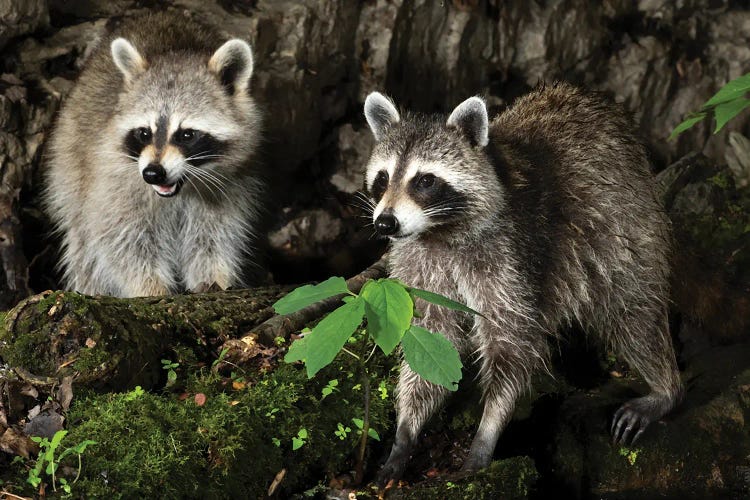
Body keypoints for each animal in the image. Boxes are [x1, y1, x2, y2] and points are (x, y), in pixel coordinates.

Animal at [44, 12, 266, 296]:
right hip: (69, 164)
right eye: (144, 133)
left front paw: (214, 276)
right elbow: (121, 239)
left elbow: (215, 234)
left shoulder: (231, 185)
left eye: (187, 135)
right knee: (84, 245)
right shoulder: (114, 183)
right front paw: (151, 287)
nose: (152, 173)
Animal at [364, 84, 688, 482]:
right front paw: (406, 431)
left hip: (627, 227)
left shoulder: (512, 257)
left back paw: (665, 387)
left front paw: (488, 429)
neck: (438, 232)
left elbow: (512, 341)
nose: (385, 222)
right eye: (383, 178)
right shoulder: (418, 264)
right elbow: (429, 337)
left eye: (425, 181)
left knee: (633, 310)